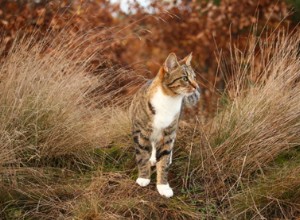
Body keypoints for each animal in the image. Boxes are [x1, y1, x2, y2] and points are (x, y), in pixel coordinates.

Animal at [129, 52, 199, 199]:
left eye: (194, 77)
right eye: (185, 78)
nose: (196, 86)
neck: (169, 100)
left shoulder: (168, 134)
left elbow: (164, 160)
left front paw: (163, 186)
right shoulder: (140, 132)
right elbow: (142, 155)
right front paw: (143, 178)